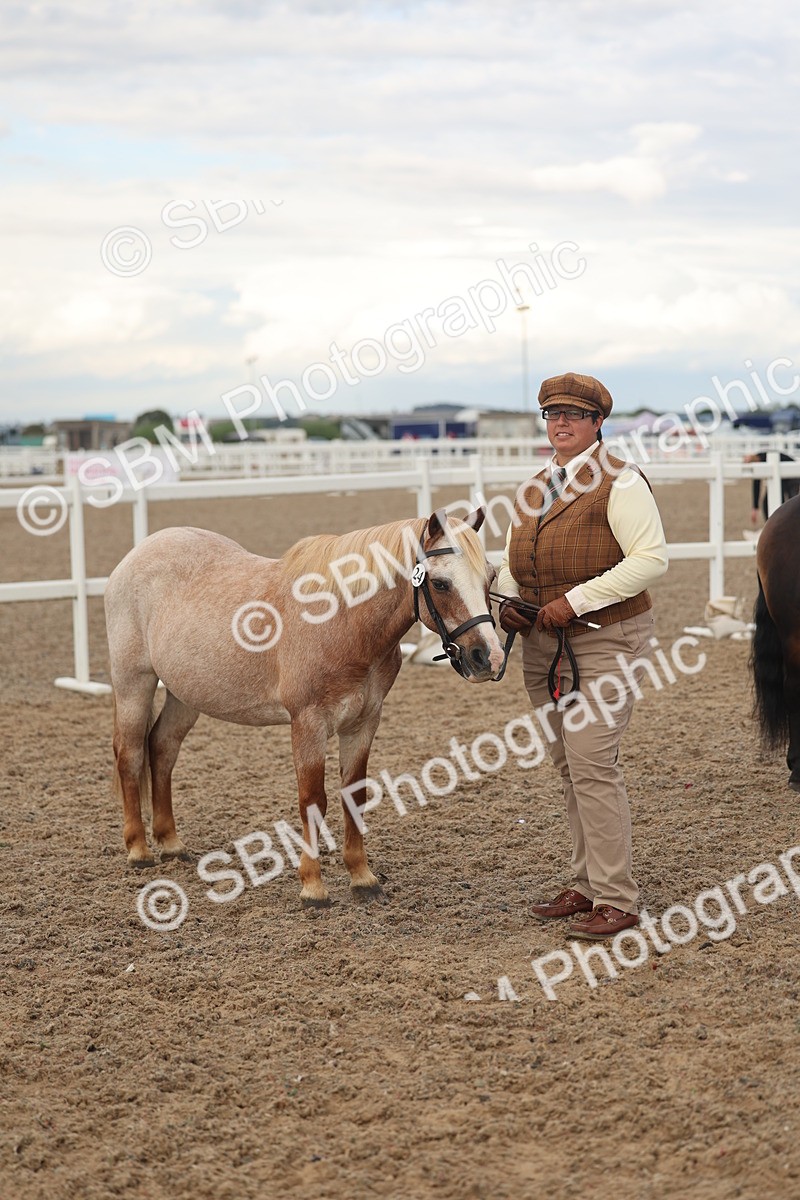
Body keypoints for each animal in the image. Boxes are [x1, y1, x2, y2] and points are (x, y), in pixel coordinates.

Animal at [105, 508, 505, 904]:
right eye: (440, 583)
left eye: (490, 577)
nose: (488, 657)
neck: (341, 620)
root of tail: (137, 554)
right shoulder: (308, 724)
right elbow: (313, 800)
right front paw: (313, 887)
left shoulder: (363, 723)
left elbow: (354, 796)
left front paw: (362, 878)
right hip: (134, 683)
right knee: (130, 755)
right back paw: (139, 850)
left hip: (185, 693)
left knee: (162, 747)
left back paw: (171, 843)